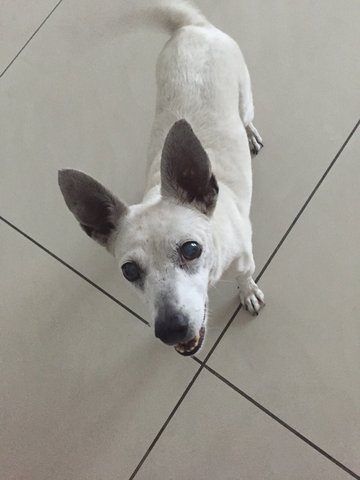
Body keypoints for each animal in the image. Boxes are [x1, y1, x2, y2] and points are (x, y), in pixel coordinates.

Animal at [59, 0, 264, 356]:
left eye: (191, 249)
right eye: (129, 271)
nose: (170, 329)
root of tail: (191, 26)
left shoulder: (243, 260)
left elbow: (245, 277)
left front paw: (247, 292)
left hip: (244, 94)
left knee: (246, 116)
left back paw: (249, 133)